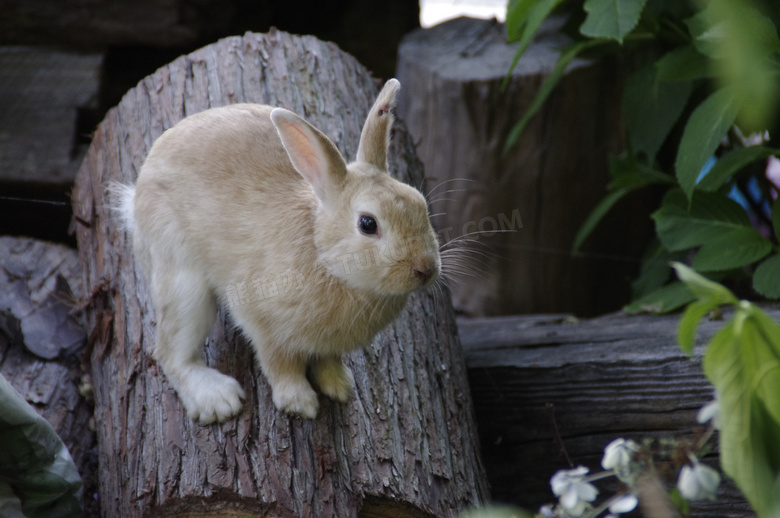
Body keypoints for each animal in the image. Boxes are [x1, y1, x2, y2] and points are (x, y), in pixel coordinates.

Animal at [110, 79, 442, 424]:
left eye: (420, 202)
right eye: (367, 224)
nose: (426, 268)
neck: (324, 255)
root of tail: (136, 202)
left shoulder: (328, 345)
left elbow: (327, 361)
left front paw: (339, 386)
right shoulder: (264, 325)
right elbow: (281, 366)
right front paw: (300, 403)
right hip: (182, 282)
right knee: (171, 352)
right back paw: (217, 399)